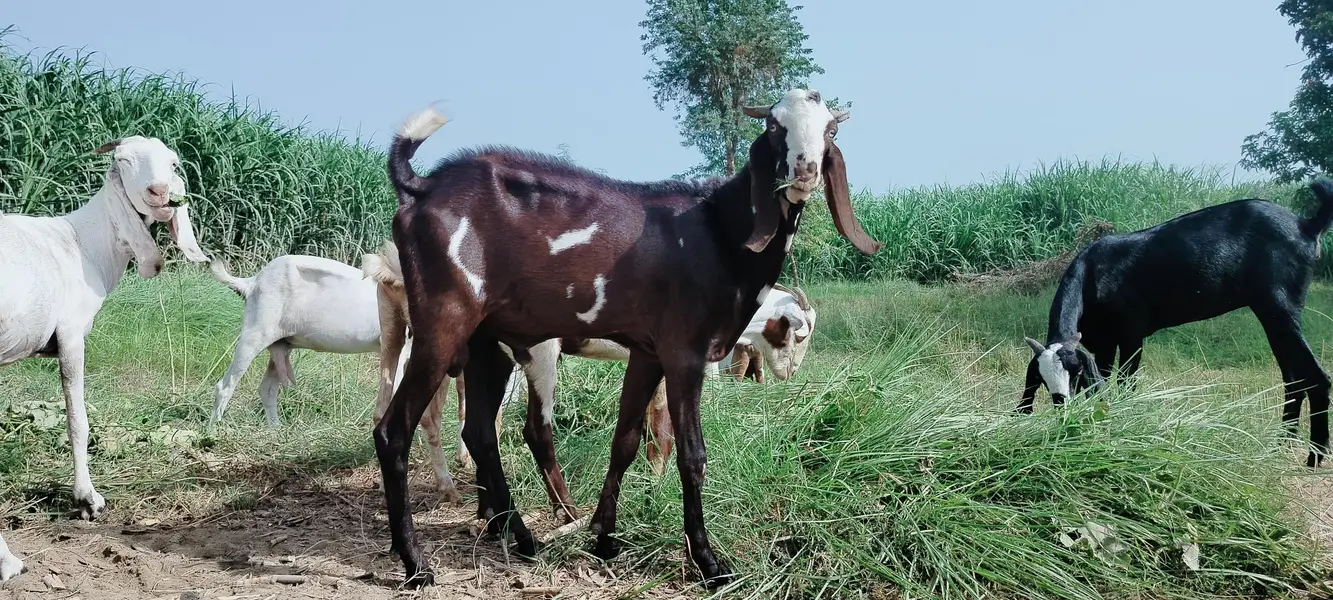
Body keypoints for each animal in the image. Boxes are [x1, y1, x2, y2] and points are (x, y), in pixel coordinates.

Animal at [0, 136, 209, 581]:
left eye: (174, 163)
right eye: (123, 160)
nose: (159, 193)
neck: (83, 242)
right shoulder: (71, 333)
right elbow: (78, 421)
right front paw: (87, 499)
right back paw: (8, 561)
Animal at [376, 88, 880, 587]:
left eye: (830, 131)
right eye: (775, 127)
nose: (805, 171)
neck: (718, 231)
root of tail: (422, 187)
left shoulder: (647, 354)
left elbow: (626, 441)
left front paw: (603, 537)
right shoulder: (684, 354)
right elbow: (690, 454)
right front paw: (708, 562)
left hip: (487, 343)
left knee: (480, 432)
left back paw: (520, 536)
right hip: (447, 323)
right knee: (395, 431)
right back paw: (416, 564)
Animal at [1020, 178, 1333, 467]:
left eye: (1074, 374)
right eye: (1042, 380)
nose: (1063, 408)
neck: (1093, 276)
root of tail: (1305, 225)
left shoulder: (1132, 334)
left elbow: (1126, 383)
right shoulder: (1103, 344)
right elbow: (1104, 381)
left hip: (1279, 305)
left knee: (1316, 377)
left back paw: (1315, 456)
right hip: (1272, 315)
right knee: (1294, 379)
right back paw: (1281, 445)